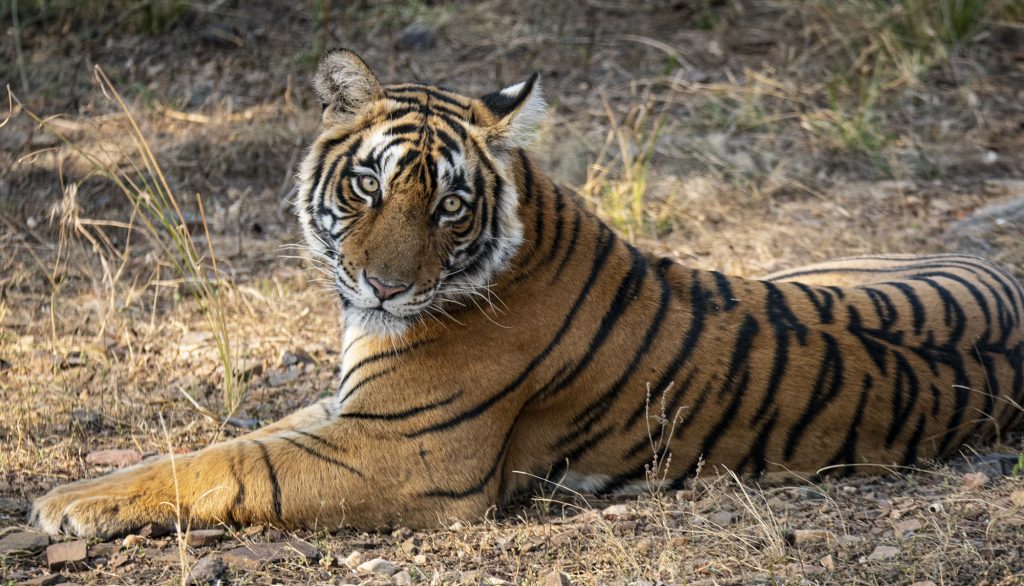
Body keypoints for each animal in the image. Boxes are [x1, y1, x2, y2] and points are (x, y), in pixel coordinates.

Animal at [29, 50, 1024, 540]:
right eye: (368, 185)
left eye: (450, 204)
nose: (386, 286)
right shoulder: (350, 406)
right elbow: (226, 441)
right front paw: (81, 485)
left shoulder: (402, 452)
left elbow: (234, 465)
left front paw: (62, 505)